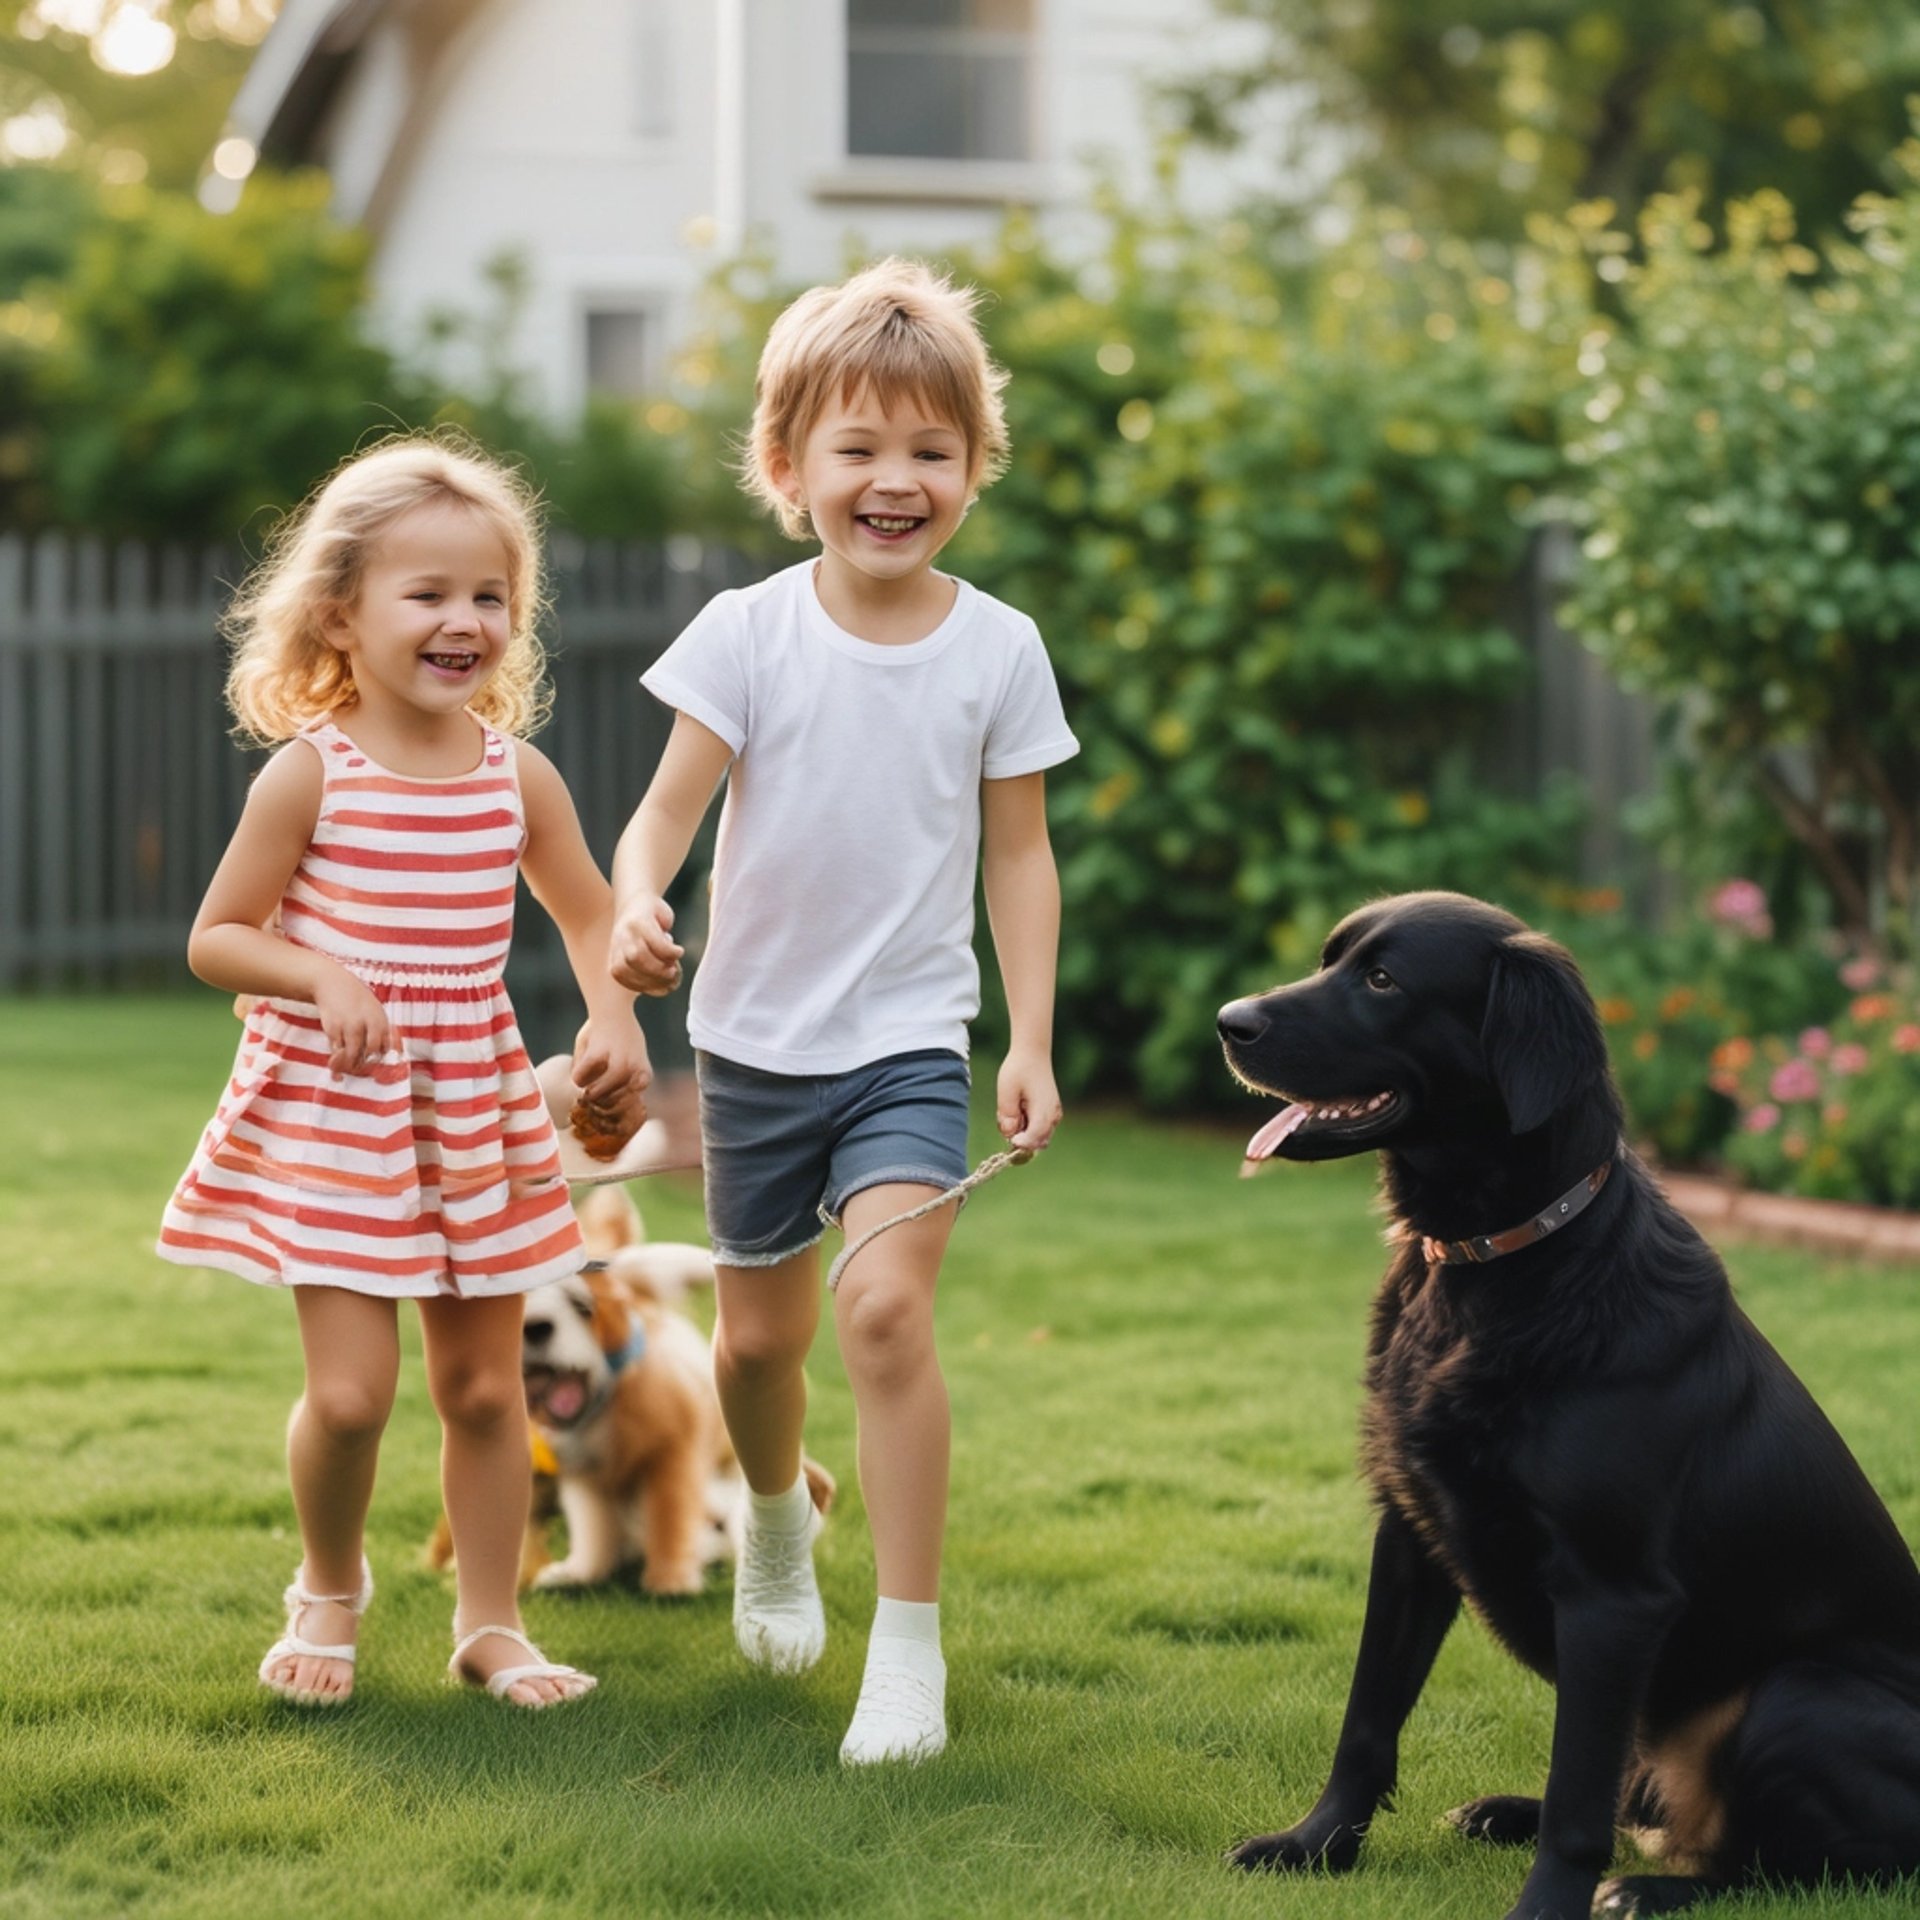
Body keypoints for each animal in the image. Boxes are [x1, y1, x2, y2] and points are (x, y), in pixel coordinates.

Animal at [1213, 890, 1920, 1912]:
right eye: (1329, 960)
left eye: (1382, 981)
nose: (1228, 1021)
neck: (1499, 1265)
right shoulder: (1408, 1535)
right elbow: (1366, 1722)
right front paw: (1316, 1845)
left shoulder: (1613, 1595)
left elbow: (1578, 1795)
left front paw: (1546, 1906)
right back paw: (1509, 1813)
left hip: (1796, 1697)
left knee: (1805, 1867)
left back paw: (1649, 1891)